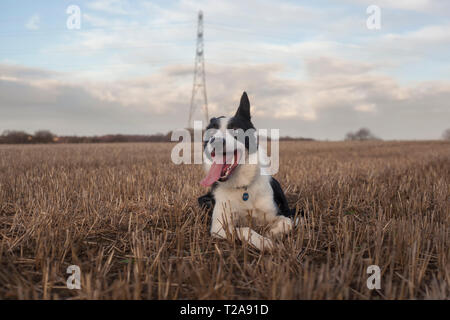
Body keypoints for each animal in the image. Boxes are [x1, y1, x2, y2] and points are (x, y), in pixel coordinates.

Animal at [199, 92, 298, 250]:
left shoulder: (279, 214)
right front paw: (265, 242)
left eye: (235, 130)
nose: (215, 141)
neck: (242, 186)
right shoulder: (218, 228)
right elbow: (244, 229)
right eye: (211, 132)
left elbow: (287, 222)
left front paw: (270, 234)